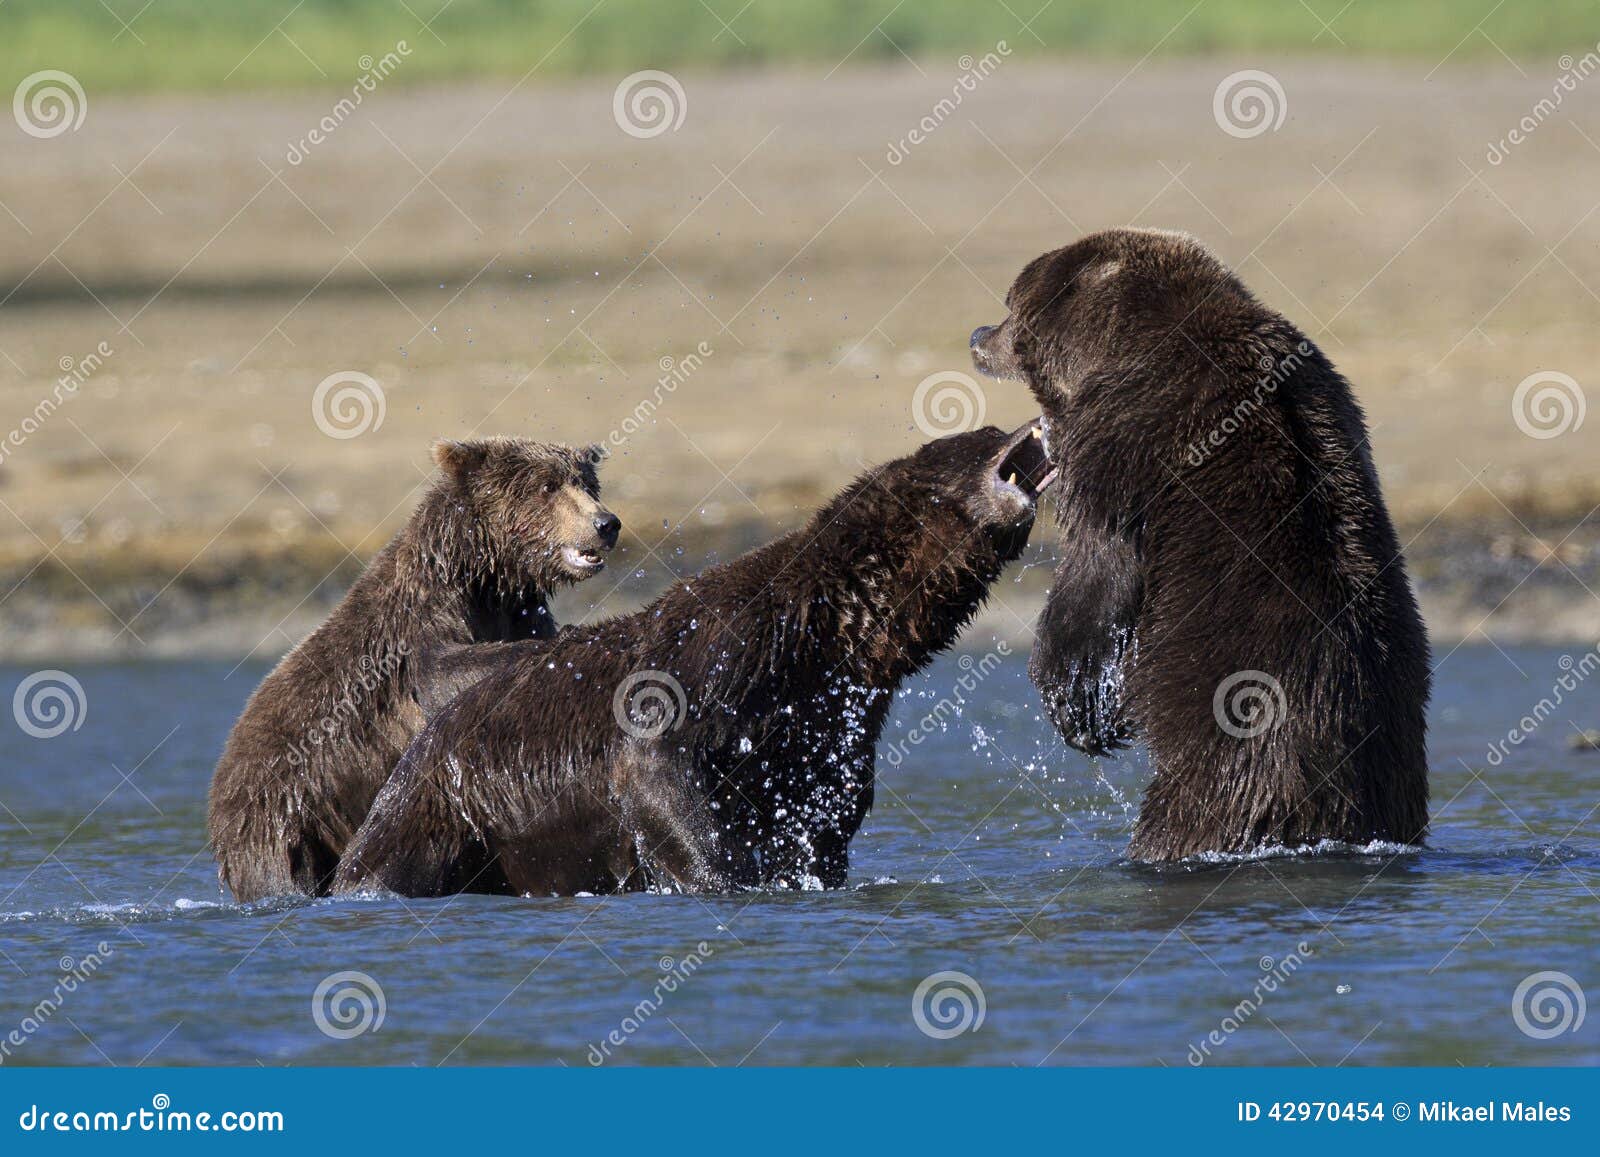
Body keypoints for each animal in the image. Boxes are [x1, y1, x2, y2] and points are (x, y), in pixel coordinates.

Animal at [207, 435, 621, 902]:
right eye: (547, 486)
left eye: (588, 484)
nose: (606, 523)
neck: (484, 577)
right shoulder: (421, 620)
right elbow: (443, 672)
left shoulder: (514, 610)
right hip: (284, 820)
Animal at [330, 421, 1054, 897]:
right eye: (970, 439)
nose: (1024, 425)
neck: (822, 638)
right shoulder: (723, 654)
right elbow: (660, 765)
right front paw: (723, 875)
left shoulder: (827, 725)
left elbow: (823, 811)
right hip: (443, 813)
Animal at [969, 228, 1430, 861]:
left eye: (1012, 304)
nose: (977, 338)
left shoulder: (1131, 444)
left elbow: (1100, 572)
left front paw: (1078, 708)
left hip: (1231, 761)